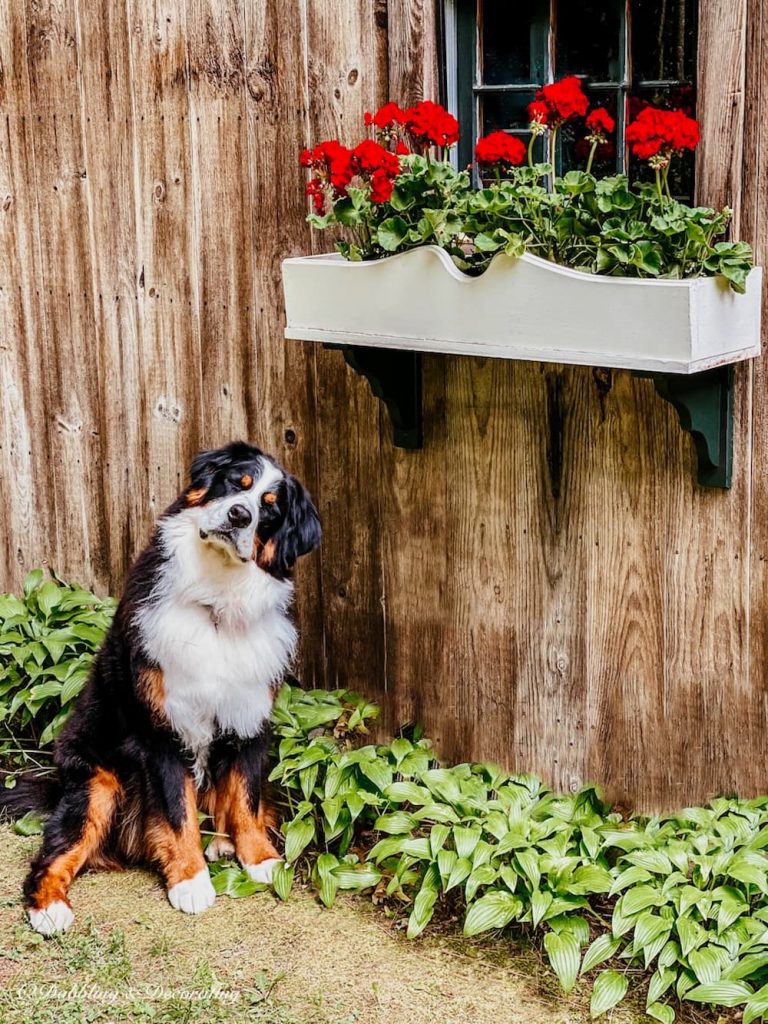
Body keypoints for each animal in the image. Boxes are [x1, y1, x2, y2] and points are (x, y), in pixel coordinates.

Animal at [0, 440, 321, 937]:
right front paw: (189, 881)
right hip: (96, 783)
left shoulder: (248, 718)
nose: (239, 515)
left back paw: (223, 843)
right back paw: (49, 908)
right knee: (56, 853)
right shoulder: (161, 729)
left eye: (270, 509)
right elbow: (176, 811)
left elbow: (246, 797)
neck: (216, 601)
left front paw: (261, 859)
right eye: (237, 484)